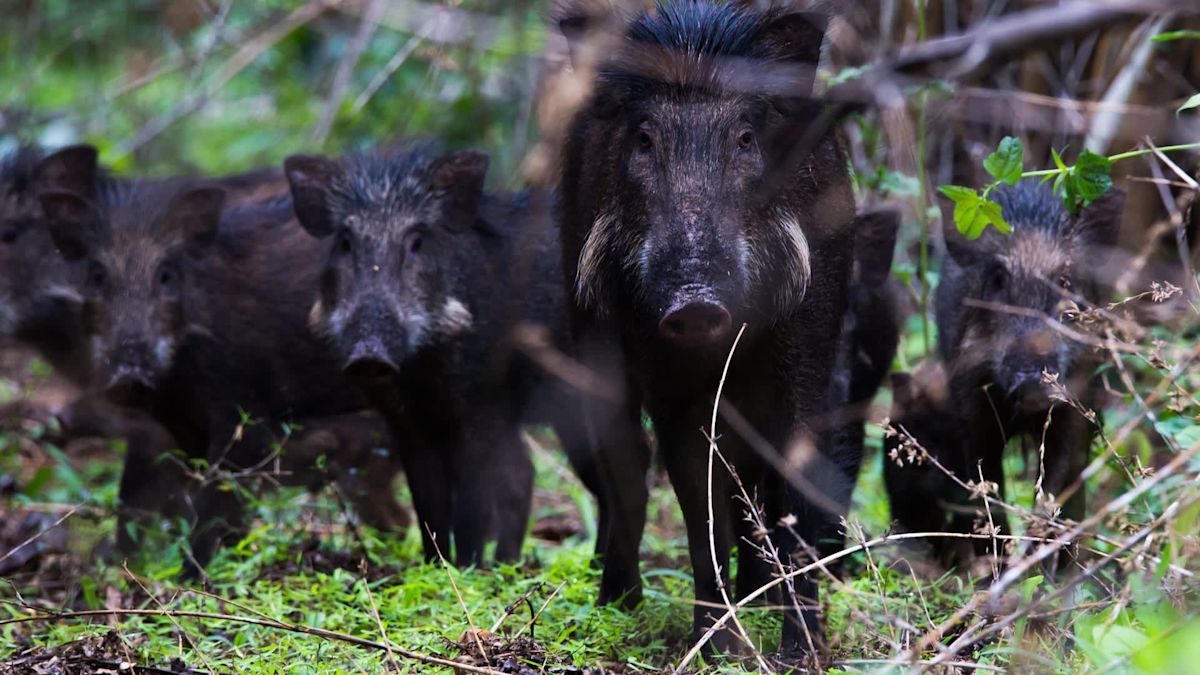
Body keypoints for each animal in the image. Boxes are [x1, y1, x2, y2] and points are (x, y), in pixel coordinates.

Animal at [284, 143, 604, 567]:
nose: (369, 356)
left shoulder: (478, 412)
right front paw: (435, 565)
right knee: (530, 475)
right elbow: (428, 505)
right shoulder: (409, 424)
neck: (421, 371)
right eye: (345, 242)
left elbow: (471, 506)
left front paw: (467, 567)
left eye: (417, 241)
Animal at [555, 0, 856, 656]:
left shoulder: (810, 355)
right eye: (644, 138)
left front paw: (800, 654)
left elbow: (794, 490)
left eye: (745, 137)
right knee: (627, 474)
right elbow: (700, 505)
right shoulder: (669, 385)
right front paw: (716, 649)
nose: (695, 303)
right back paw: (617, 604)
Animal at [934, 180, 1122, 561]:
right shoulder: (971, 410)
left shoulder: (1074, 412)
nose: (1035, 382)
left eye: (1065, 281)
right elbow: (988, 491)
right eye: (997, 279)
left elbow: (1054, 494)